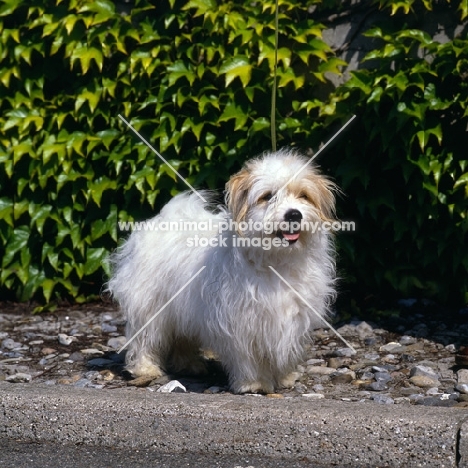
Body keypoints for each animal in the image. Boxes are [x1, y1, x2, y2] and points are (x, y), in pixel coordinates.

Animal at [105, 148, 336, 394]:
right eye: (267, 196)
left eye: (303, 195)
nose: (294, 214)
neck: (276, 259)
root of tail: (164, 217)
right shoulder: (241, 321)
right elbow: (246, 357)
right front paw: (253, 383)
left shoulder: (291, 318)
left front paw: (284, 377)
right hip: (150, 306)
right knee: (145, 339)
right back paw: (145, 368)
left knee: (182, 338)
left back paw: (189, 365)